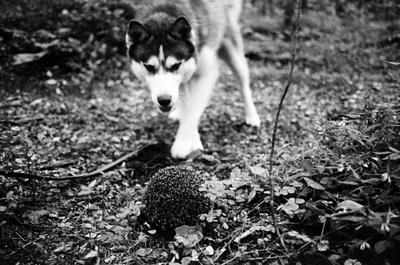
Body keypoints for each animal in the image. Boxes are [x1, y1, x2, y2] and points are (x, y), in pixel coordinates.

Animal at [126, 0, 260, 159]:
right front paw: (191, 137)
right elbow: (188, 106)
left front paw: (184, 143)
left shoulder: (206, 74)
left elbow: (193, 109)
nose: (164, 100)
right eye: (149, 67)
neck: (163, 14)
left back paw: (252, 116)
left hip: (233, 54)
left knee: (243, 85)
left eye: (175, 65)